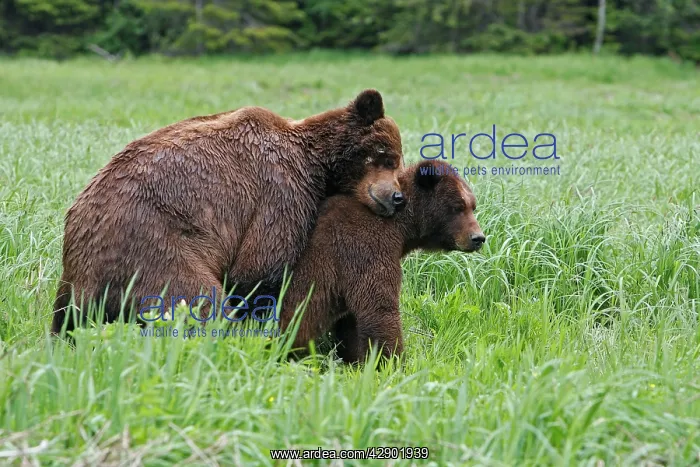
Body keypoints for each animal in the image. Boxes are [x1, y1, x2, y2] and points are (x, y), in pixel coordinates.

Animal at [51, 89, 406, 335]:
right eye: (385, 155)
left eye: (397, 160)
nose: (398, 197)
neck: (317, 164)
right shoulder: (281, 190)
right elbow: (259, 266)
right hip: (150, 247)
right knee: (198, 298)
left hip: (74, 282)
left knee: (62, 323)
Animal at [279, 160, 485, 364]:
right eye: (458, 206)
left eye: (472, 206)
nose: (478, 238)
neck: (401, 228)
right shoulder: (365, 246)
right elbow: (378, 308)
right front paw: (393, 361)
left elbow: (352, 322)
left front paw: (355, 359)